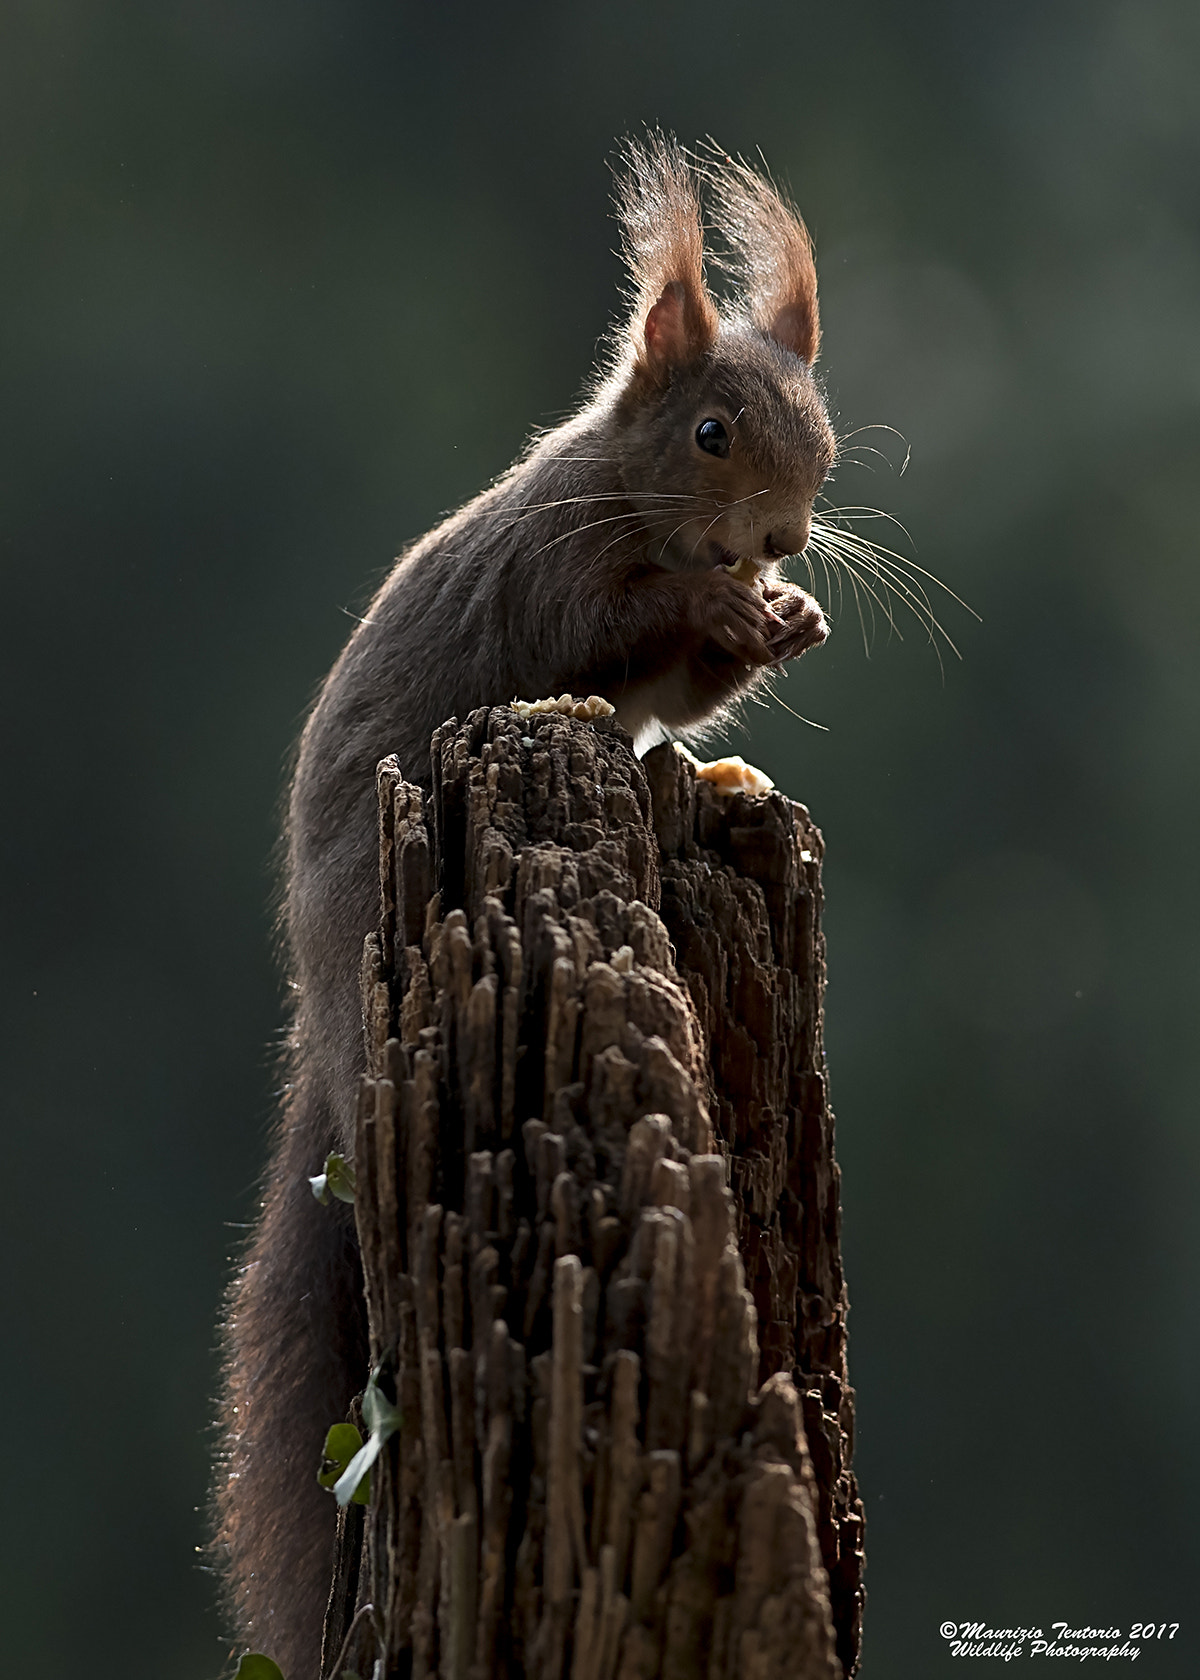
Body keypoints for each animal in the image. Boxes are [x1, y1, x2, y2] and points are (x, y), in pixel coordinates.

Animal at [215, 137, 833, 1673]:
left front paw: (780, 623)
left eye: (824, 429)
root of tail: (326, 1017)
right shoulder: (552, 579)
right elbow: (604, 638)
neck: (631, 494)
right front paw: (727, 612)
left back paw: (709, 767)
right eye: (711, 434)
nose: (788, 537)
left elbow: (684, 680)